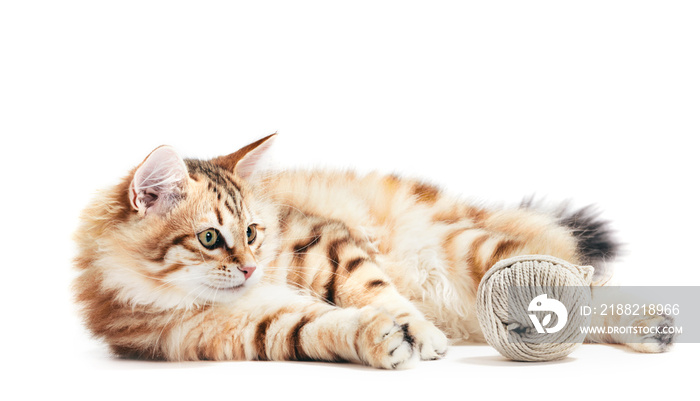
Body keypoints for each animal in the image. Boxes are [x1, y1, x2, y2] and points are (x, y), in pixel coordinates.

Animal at [74, 133, 676, 368]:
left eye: (252, 233)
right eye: (208, 238)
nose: (248, 267)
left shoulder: (322, 243)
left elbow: (376, 289)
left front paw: (422, 335)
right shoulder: (229, 333)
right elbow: (313, 329)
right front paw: (382, 339)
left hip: (472, 247)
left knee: (584, 290)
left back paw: (651, 325)